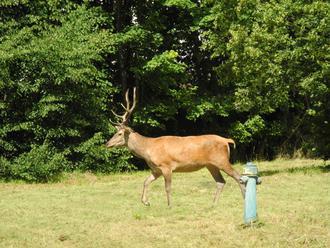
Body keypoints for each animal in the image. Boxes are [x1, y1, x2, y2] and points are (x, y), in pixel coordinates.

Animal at [105, 88, 245, 206]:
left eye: (120, 133)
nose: (107, 144)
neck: (148, 150)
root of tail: (226, 141)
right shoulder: (156, 170)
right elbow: (146, 181)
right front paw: (146, 202)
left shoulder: (166, 166)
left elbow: (167, 187)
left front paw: (169, 205)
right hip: (211, 165)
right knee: (221, 181)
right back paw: (213, 204)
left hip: (222, 160)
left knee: (238, 177)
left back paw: (244, 199)